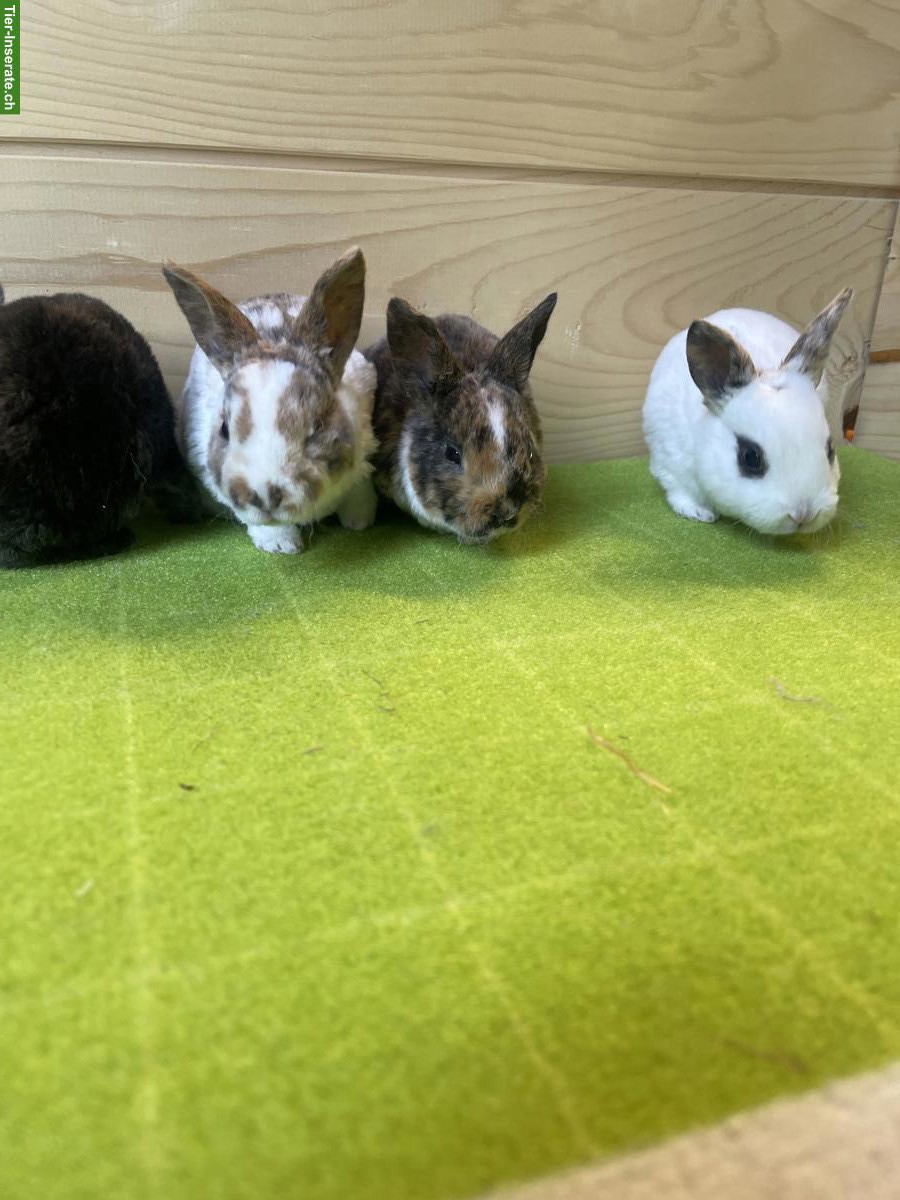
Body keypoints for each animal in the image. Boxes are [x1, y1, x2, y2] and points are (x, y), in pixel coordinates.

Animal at [162, 247, 378, 555]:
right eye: (224, 430)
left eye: (318, 426)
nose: (264, 496)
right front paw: (281, 545)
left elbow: (360, 485)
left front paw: (359, 521)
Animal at [642, 287, 853, 536]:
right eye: (750, 458)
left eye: (830, 450)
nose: (804, 515)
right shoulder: (671, 462)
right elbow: (679, 492)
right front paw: (699, 513)